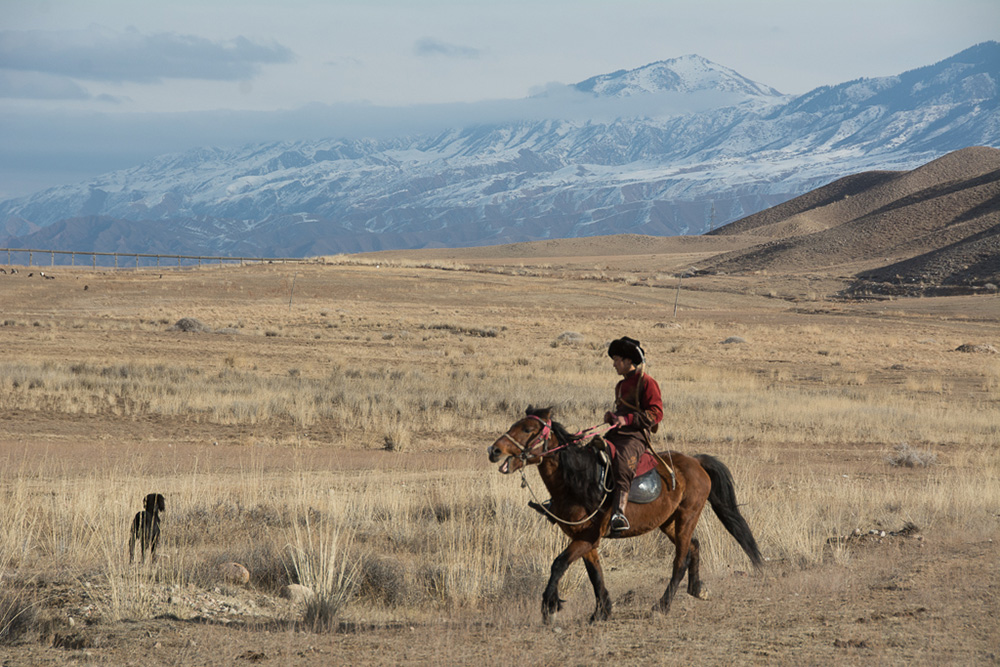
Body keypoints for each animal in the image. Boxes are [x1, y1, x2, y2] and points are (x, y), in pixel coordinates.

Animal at [488, 408, 760, 628]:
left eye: (527, 429)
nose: (494, 450)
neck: (578, 479)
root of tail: (696, 461)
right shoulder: (585, 540)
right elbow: (595, 574)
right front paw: (601, 611)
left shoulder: (587, 538)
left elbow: (559, 564)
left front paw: (549, 607)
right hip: (668, 522)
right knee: (694, 545)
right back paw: (696, 589)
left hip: (687, 516)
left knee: (680, 560)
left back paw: (662, 606)